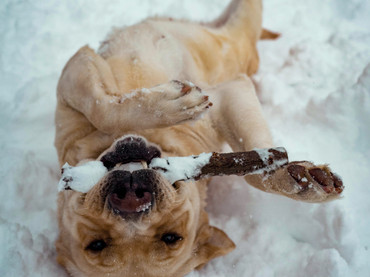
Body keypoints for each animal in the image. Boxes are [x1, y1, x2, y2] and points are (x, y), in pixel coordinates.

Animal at [55, 1, 344, 274]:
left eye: (171, 237)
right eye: (96, 243)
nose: (131, 199)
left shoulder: (77, 67)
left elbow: (102, 109)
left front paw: (301, 181)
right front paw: (298, 179)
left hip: (243, 19)